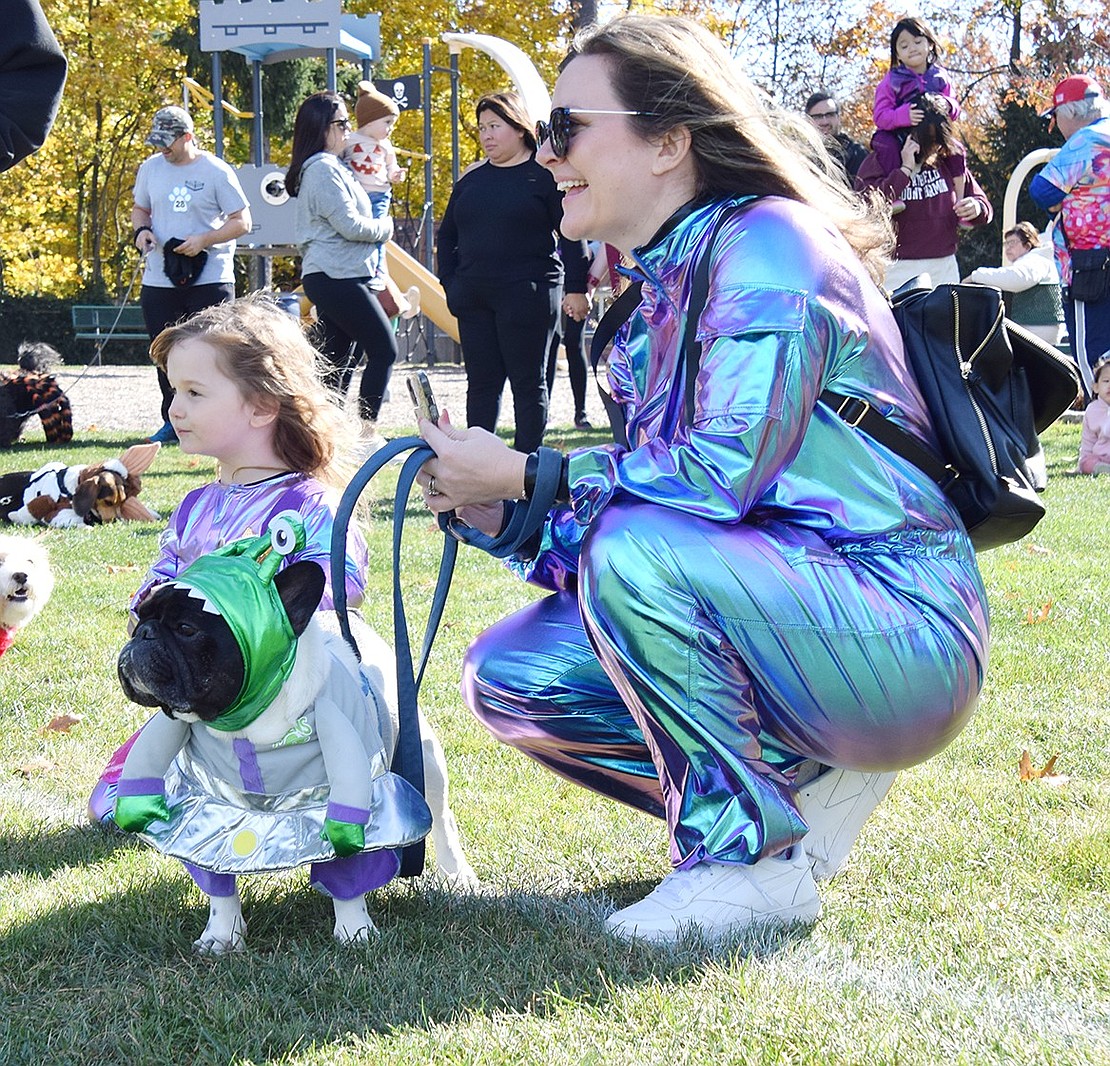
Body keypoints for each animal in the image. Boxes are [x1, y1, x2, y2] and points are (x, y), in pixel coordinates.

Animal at [108, 513, 477, 954]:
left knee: (442, 818)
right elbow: (217, 883)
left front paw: (354, 932)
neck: (248, 727)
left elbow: (349, 875)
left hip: (424, 757)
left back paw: (457, 876)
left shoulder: (349, 797)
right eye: (139, 614)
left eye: (186, 627)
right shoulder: (206, 809)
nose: (142, 634)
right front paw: (222, 936)